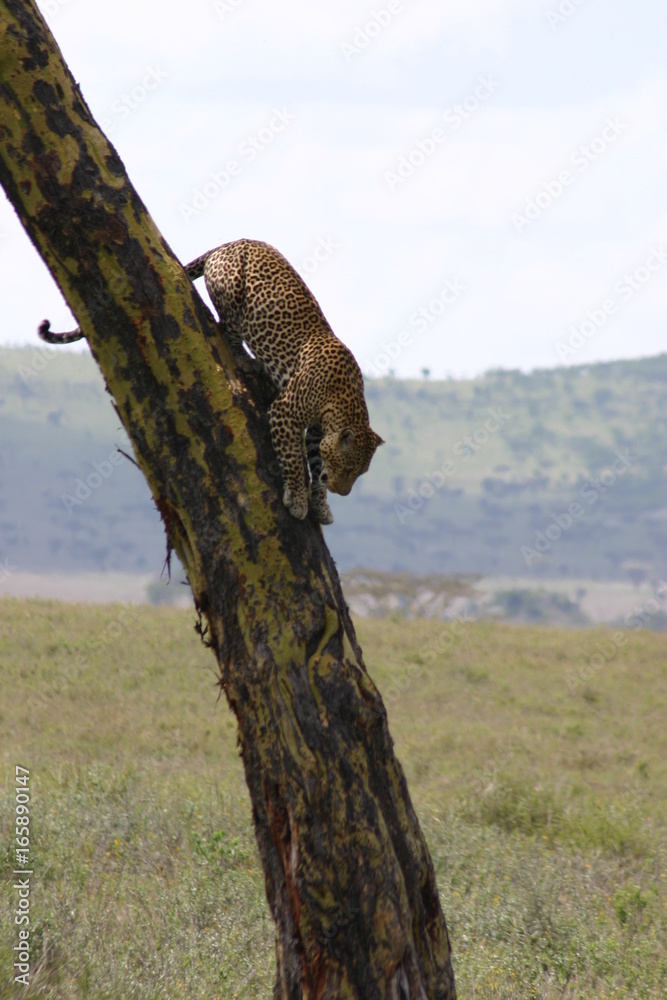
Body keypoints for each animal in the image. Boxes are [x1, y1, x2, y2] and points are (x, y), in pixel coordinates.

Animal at [38, 238, 383, 524]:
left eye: (360, 472)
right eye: (349, 468)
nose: (343, 492)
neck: (343, 403)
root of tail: (234, 241)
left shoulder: (314, 431)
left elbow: (313, 459)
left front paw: (321, 506)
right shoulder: (285, 412)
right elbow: (294, 461)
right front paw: (298, 500)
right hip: (232, 295)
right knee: (226, 327)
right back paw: (244, 359)